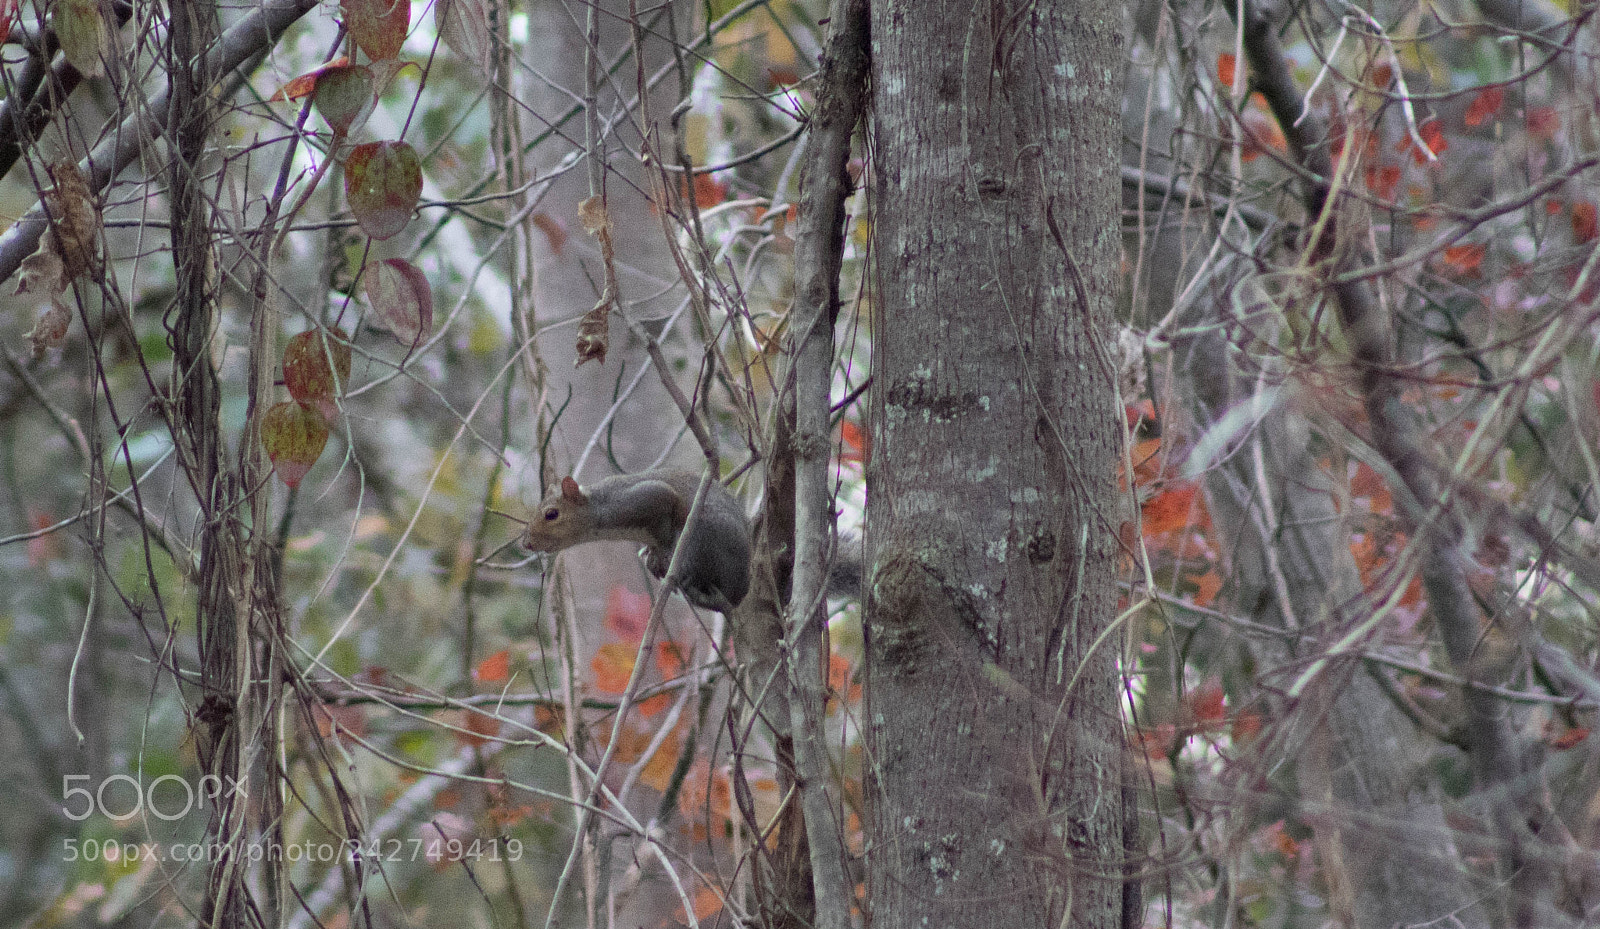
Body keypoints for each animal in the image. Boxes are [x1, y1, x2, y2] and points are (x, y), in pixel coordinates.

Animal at [521, 469, 751, 612]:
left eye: (551, 514)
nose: (527, 543)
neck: (598, 504)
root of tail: (739, 594)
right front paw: (650, 554)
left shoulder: (644, 498)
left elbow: (668, 515)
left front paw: (661, 552)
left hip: (705, 533)